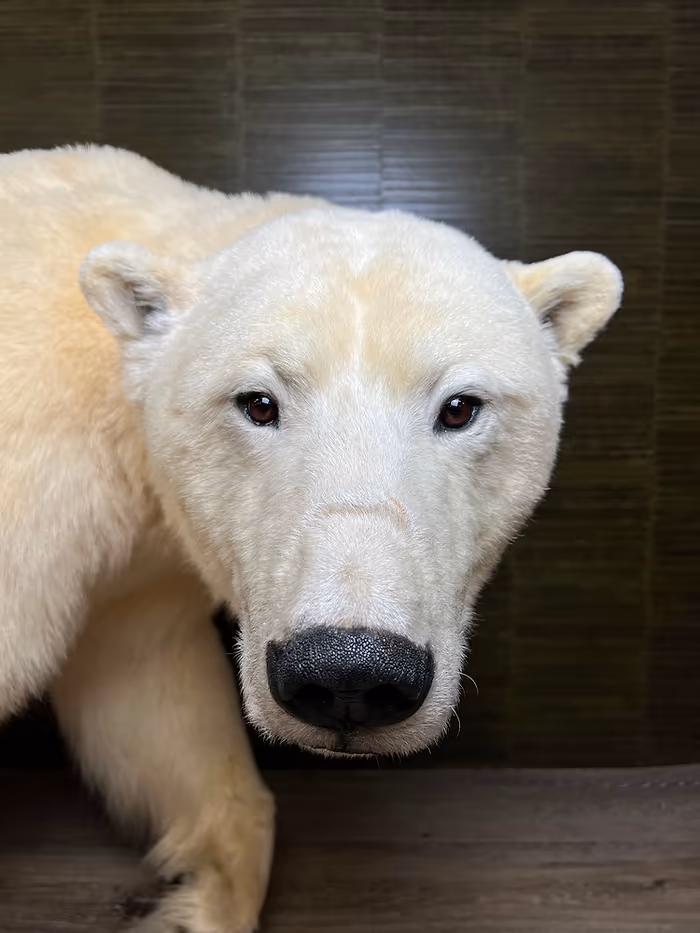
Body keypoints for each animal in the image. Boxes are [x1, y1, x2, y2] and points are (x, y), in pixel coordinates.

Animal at [0, 145, 623, 932]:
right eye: (258, 402)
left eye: (460, 407)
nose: (349, 673)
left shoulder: (140, 568)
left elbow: (147, 687)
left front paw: (200, 900)